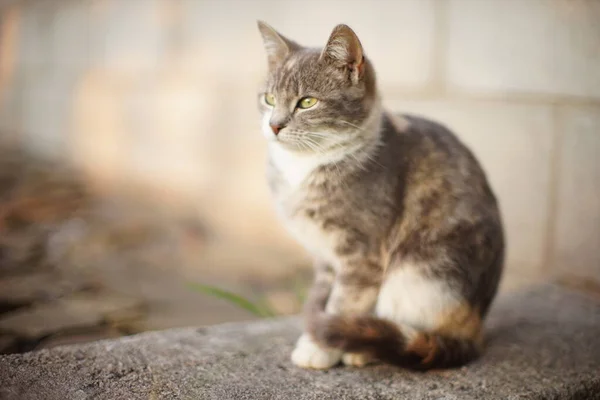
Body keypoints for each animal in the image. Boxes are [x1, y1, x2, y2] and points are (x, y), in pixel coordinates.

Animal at [255, 21, 504, 370]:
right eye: (268, 98)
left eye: (307, 102)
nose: (274, 125)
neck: (303, 167)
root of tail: (477, 329)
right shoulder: (326, 256)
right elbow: (324, 296)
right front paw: (317, 337)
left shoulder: (363, 254)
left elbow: (342, 302)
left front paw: (320, 348)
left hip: (419, 278)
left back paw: (364, 347)